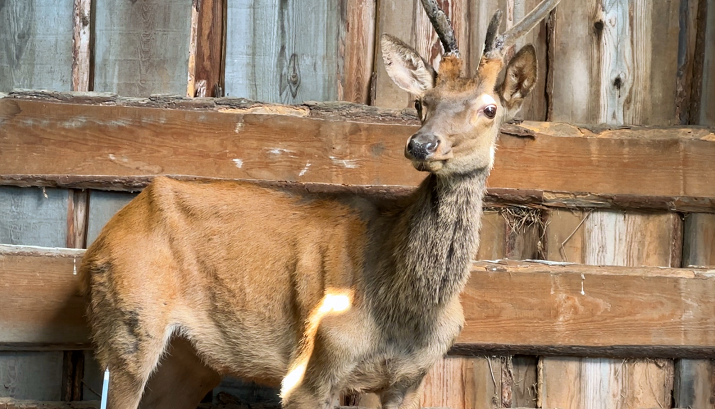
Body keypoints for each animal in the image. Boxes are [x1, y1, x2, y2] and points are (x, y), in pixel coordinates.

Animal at [79, 0, 559, 408]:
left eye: (490, 108)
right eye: (423, 102)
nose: (421, 145)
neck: (406, 314)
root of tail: (98, 244)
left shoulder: (408, 381)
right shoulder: (312, 366)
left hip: (186, 357)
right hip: (129, 323)